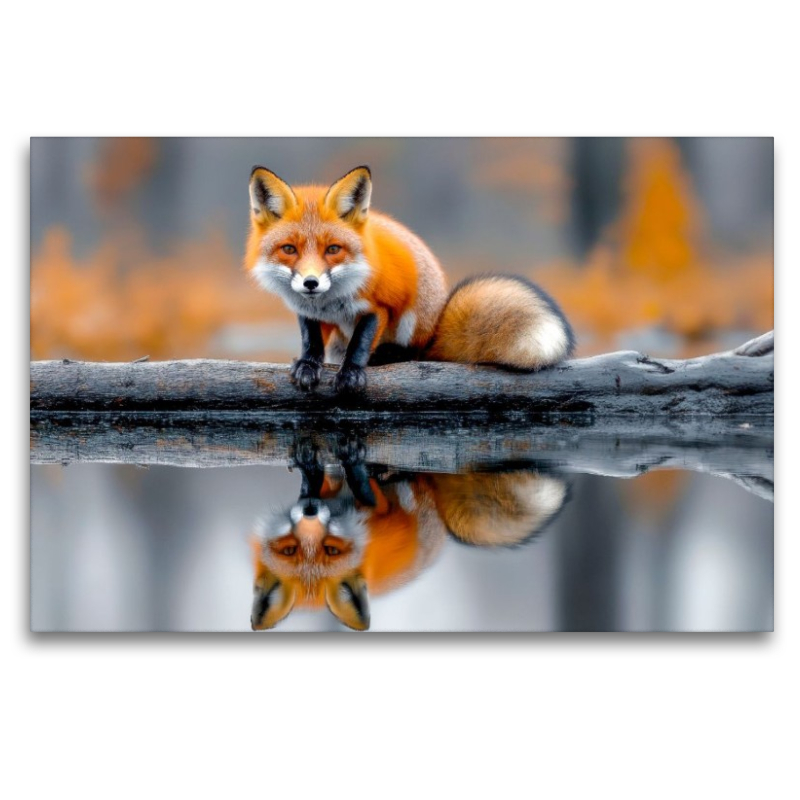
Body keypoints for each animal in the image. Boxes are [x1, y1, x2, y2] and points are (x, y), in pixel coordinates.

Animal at [245, 165, 575, 393]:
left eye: (333, 250)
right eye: (289, 249)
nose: (310, 283)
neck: (328, 303)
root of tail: (435, 328)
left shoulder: (377, 307)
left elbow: (359, 345)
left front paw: (352, 373)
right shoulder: (307, 311)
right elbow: (311, 342)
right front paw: (308, 365)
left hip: (413, 316)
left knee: (415, 354)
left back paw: (389, 355)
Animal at [250, 443, 569, 631]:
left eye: (330, 550)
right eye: (291, 550)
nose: (310, 511)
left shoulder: (383, 510)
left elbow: (367, 490)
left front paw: (353, 461)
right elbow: (324, 480)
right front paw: (309, 468)